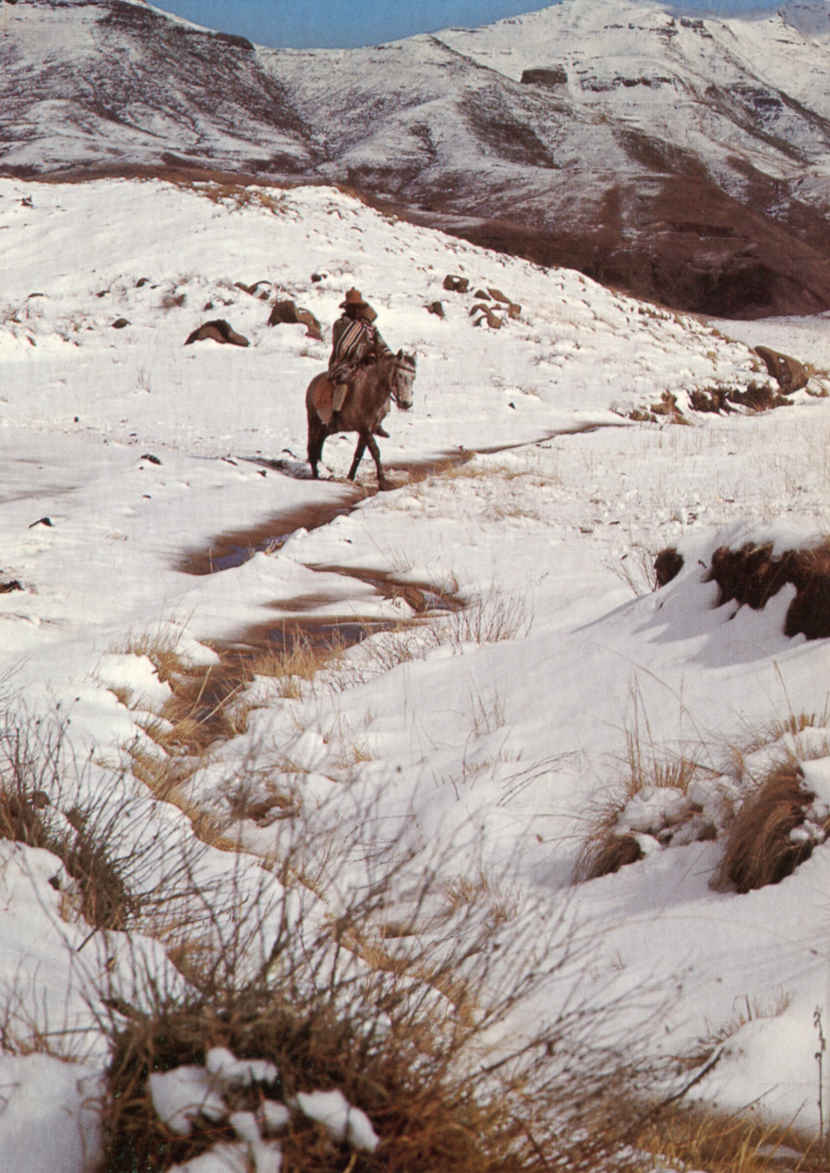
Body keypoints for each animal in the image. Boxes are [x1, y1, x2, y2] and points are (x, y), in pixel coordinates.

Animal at [307, 351, 417, 490]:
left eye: (413, 377)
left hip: (327, 428)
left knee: (318, 444)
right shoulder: (364, 428)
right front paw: (383, 482)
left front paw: (350, 477)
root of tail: (313, 383)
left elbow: (359, 453)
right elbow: (375, 451)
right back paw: (315, 475)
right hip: (314, 422)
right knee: (312, 445)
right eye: (399, 375)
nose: (406, 403)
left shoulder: (368, 429)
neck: (370, 393)